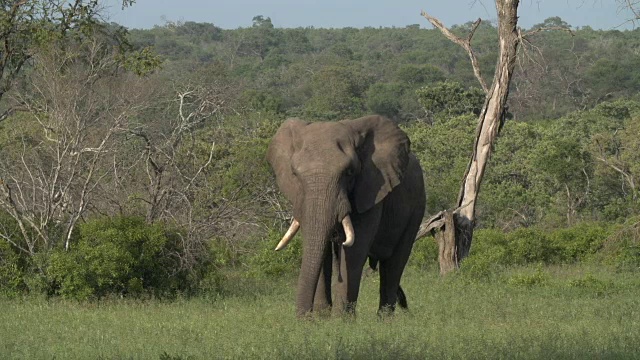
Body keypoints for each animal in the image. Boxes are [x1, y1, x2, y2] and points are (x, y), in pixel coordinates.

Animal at [264, 114, 424, 316]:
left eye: (349, 172)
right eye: (294, 174)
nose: (304, 318)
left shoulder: (371, 190)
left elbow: (354, 250)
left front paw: (340, 320)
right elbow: (320, 248)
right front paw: (322, 317)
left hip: (416, 208)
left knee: (394, 263)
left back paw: (385, 319)